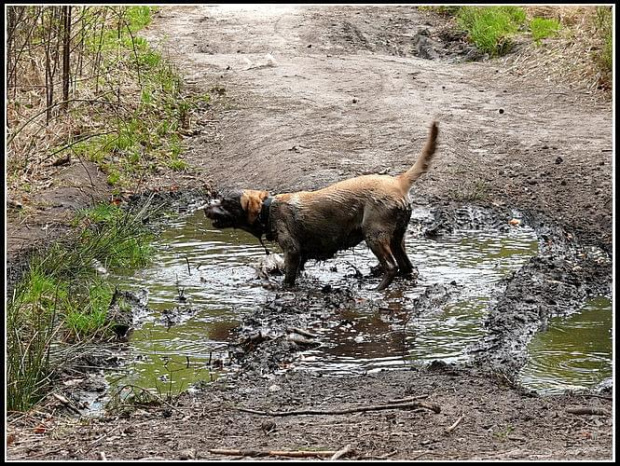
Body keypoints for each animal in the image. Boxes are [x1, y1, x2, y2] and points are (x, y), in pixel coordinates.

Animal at [206, 120, 438, 290]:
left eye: (225, 202)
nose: (206, 207)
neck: (268, 209)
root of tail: (398, 182)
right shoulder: (300, 256)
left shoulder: (292, 250)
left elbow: (288, 277)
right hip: (397, 238)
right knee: (405, 267)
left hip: (374, 235)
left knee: (391, 267)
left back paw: (377, 290)